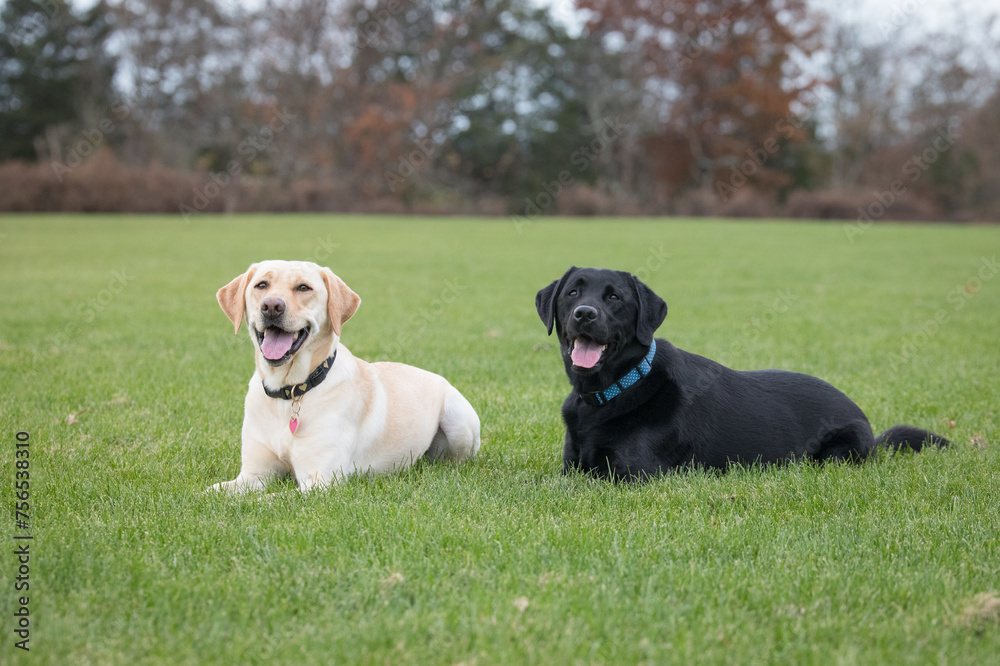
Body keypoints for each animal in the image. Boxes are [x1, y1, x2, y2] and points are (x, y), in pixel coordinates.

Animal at [208, 260, 481, 493]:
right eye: (261, 285)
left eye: (303, 287)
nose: (271, 306)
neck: (290, 391)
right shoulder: (253, 476)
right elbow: (210, 493)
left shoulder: (319, 482)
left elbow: (270, 499)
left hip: (459, 421)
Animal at [536, 266, 948, 480]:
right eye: (573, 293)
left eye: (614, 298)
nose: (584, 314)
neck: (613, 391)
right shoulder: (572, 469)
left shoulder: (629, 475)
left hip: (837, 453)